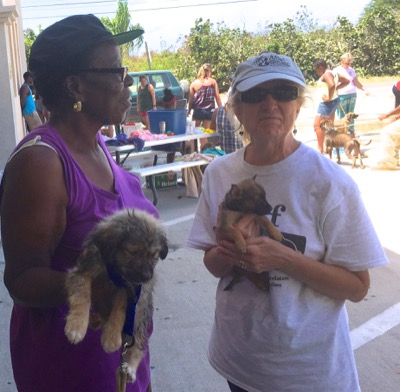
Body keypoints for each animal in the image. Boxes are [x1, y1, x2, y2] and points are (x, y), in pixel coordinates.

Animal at [65, 210, 168, 388]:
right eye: (132, 251)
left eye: (154, 255)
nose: (147, 277)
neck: (116, 270)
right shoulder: (82, 272)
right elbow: (82, 295)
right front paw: (77, 326)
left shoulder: (130, 292)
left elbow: (119, 312)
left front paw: (112, 337)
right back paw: (95, 319)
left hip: (139, 316)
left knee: (139, 345)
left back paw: (130, 368)